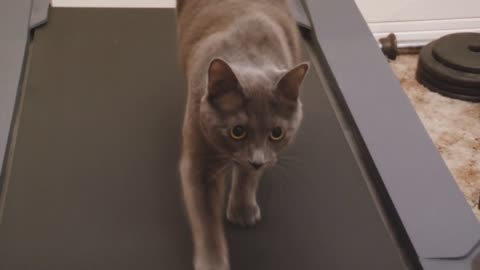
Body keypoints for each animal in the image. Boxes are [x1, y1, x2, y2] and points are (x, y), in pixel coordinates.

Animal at [175, 1, 308, 268]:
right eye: (237, 131)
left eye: (276, 133)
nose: (256, 160)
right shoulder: (198, 159)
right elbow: (205, 218)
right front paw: (212, 263)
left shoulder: (266, 156)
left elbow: (248, 176)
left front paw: (243, 211)